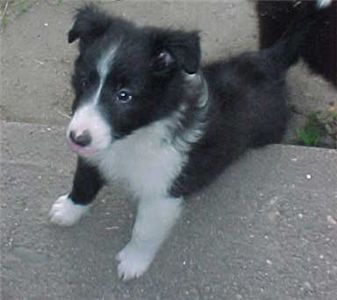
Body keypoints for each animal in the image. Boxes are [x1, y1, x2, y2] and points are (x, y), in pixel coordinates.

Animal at [49, 4, 316, 282]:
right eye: (84, 82)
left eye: (124, 96)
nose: (77, 138)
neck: (132, 136)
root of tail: (269, 61)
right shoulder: (95, 154)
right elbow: (83, 182)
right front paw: (68, 210)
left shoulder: (163, 191)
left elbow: (144, 230)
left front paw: (133, 262)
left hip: (271, 130)